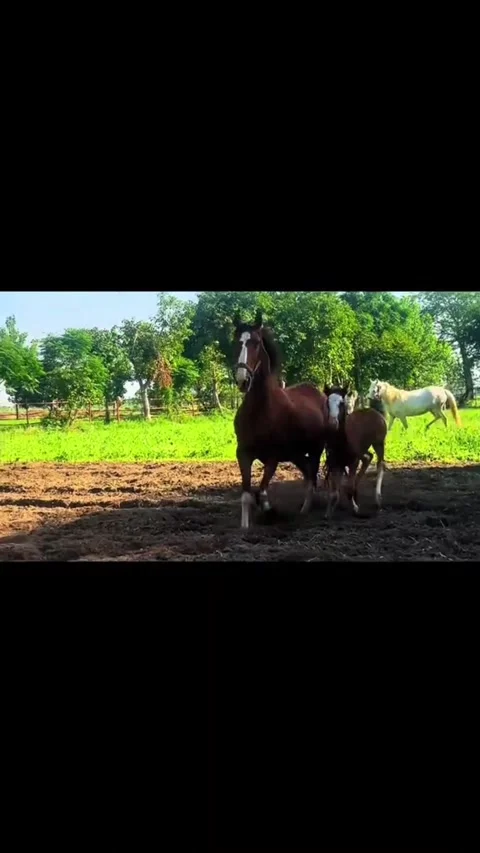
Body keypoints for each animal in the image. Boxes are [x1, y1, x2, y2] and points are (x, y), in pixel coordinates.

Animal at [233, 311, 330, 529]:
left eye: (256, 343)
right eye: (236, 341)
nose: (243, 380)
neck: (260, 410)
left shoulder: (273, 457)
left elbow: (261, 491)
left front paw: (270, 511)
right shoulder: (243, 454)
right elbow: (247, 495)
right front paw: (245, 526)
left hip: (315, 450)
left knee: (312, 477)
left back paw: (305, 510)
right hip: (296, 454)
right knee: (308, 475)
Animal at [323, 385, 388, 519]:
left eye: (341, 403)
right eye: (327, 402)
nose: (332, 423)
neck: (342, 442)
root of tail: (374, 412)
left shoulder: (353, 462)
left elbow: (348, 487)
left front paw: (355, 509)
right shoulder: (334, 463)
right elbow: (335, 492)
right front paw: (329, 511)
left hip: (379, 443)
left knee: (380, 464)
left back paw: (378, 499)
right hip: (363, 450)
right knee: (368, 457)